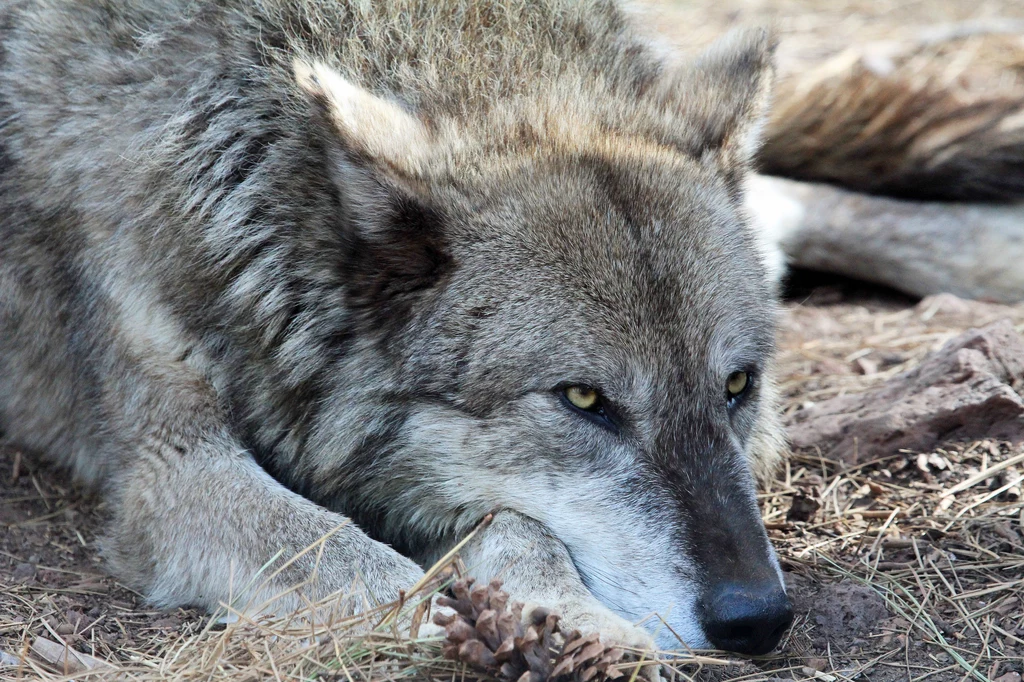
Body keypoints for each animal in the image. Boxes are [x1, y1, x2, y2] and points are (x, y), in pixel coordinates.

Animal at [2, 0, 790, 651]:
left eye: (737, 385)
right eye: (584, 400)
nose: (758, 618)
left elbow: (521, 527)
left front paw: (571, 624)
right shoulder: (170, 473)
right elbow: (340, 553)